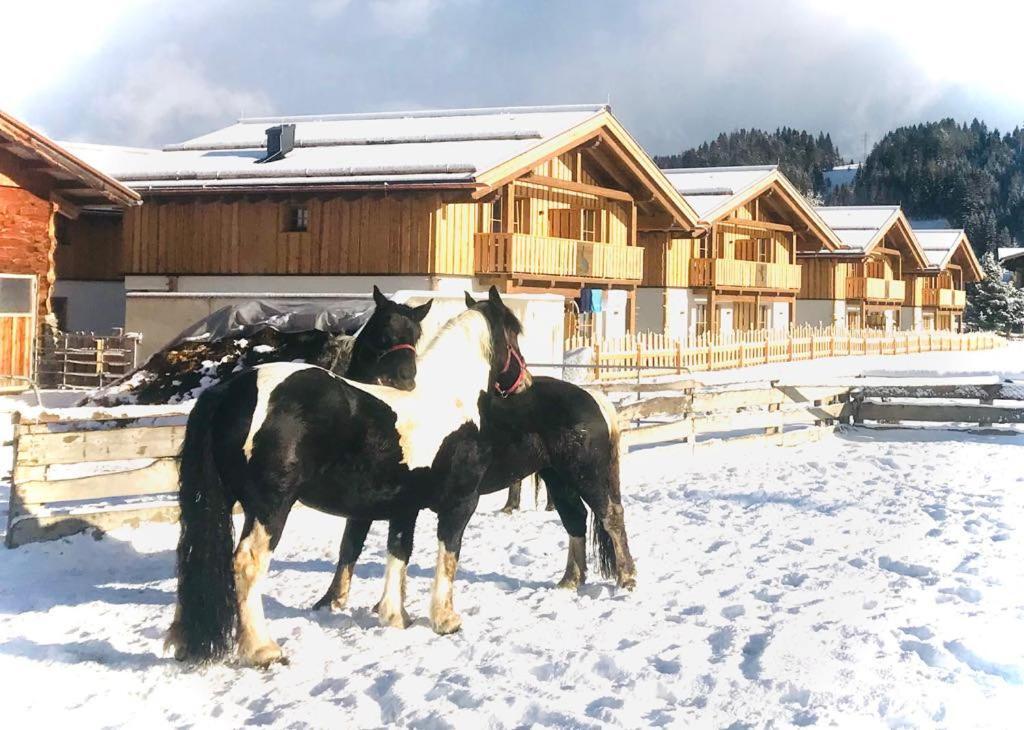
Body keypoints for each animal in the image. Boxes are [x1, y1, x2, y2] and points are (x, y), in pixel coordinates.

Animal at [166, 286, 528, 663]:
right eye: (514, 335)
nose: (525, 382)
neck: (450, 401)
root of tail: (231, 390)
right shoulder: (459, 504)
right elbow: (448, 557)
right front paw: (445, 619)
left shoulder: (404, 507)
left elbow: (399, 552)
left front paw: (396, 616)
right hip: (270, 507)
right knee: (247, 563)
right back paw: (263, 650)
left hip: (217, 502)